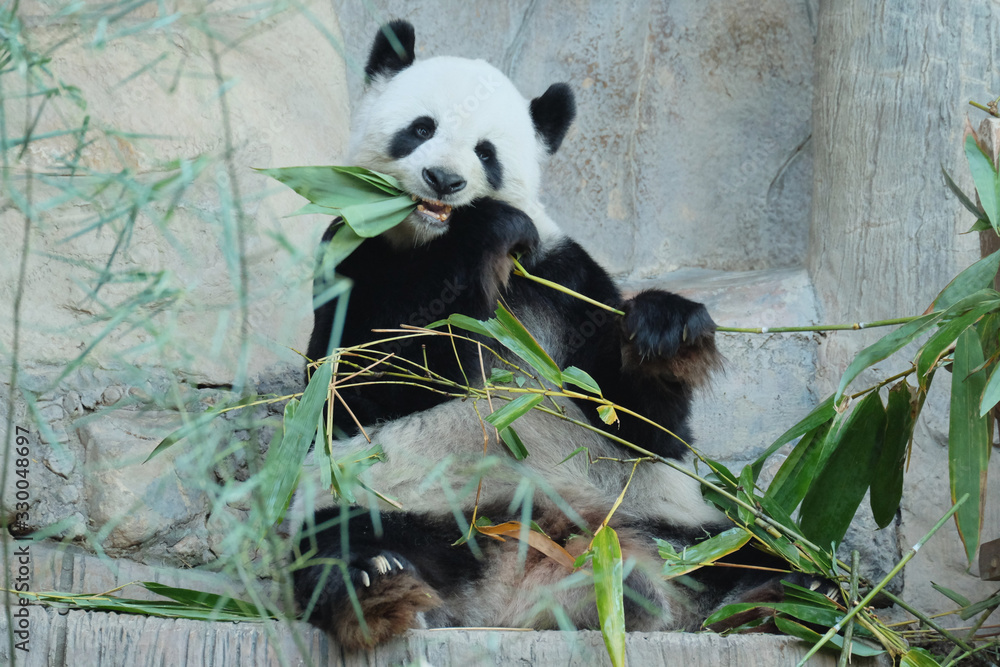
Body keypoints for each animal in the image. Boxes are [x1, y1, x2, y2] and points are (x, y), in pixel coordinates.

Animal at [291, 20, 786, 650]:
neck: (429, 240)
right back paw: (378, 585)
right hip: (390, 501)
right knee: (340, 543)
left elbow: (640, 425)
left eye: (486, 152)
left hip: (666, 521)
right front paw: (487, 231)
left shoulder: (563, 279)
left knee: (751, 550)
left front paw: (667, 330)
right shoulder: (350, 249)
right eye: (421, 128)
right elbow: (362, 382)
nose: (444, 180)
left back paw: (778, 596)